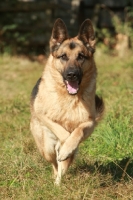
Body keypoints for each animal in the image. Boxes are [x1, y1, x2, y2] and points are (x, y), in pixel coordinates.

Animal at [30, 18, 104, 184]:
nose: (72, 75)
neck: (70, 98)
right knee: (54, 163)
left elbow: (78, 131)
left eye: (81, 56)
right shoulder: (43, 115)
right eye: (63, 56)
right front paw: (65, 145)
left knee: (62, 167)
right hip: (46, 148)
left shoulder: (89, 122)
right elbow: (62, 131)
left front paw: (69, 146)